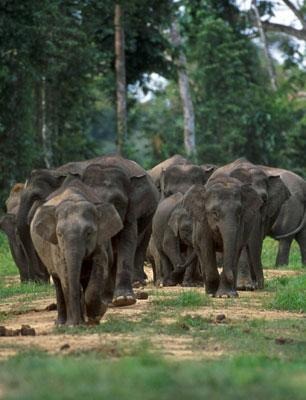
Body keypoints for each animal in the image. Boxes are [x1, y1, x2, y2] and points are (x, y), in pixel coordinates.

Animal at [16, 155, 159, 304]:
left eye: (118, 202)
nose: (36, 281)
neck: (56, 171)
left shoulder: (132, 209)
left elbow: (127, 240)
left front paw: (124, 299)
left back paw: (136, 283)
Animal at [30, 180, 122, 326]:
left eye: (89, 233)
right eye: (59, 234)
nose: (75, 323)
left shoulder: (100, 241)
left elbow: (100, 265)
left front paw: (96, 317)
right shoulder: (56, 246)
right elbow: (65, 273)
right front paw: (73, 325)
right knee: (58, 281)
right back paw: (61, 323)